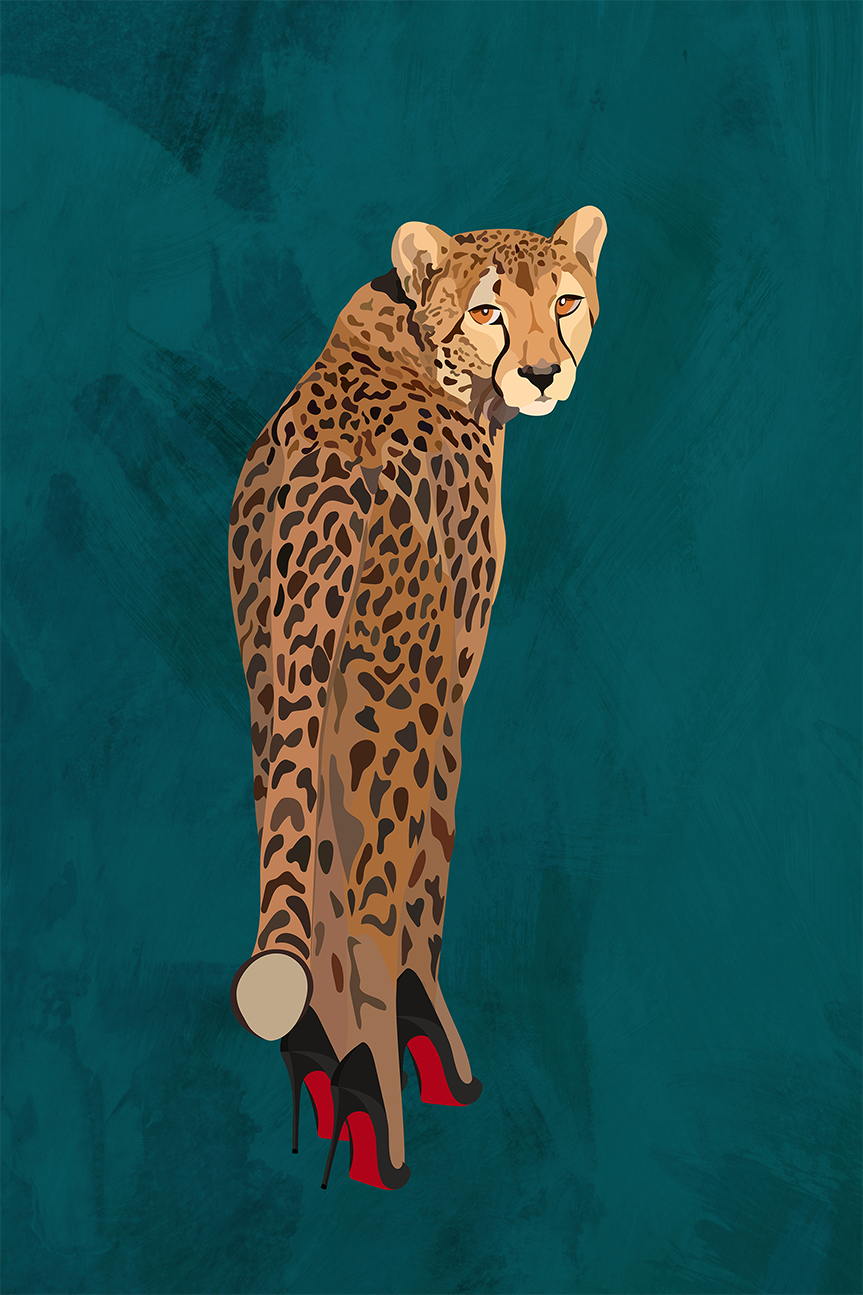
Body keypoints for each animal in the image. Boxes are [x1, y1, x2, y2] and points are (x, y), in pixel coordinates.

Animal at [227, 206, 607, 1174]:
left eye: (565, 301)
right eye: (487, 312)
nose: (543, 373)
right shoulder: (447, 668)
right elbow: (427, 856)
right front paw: (417, 1028)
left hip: (279, 682)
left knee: (309, 857)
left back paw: (325, 1060)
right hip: (392, 696)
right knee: (373, 886)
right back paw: (382, 1089)